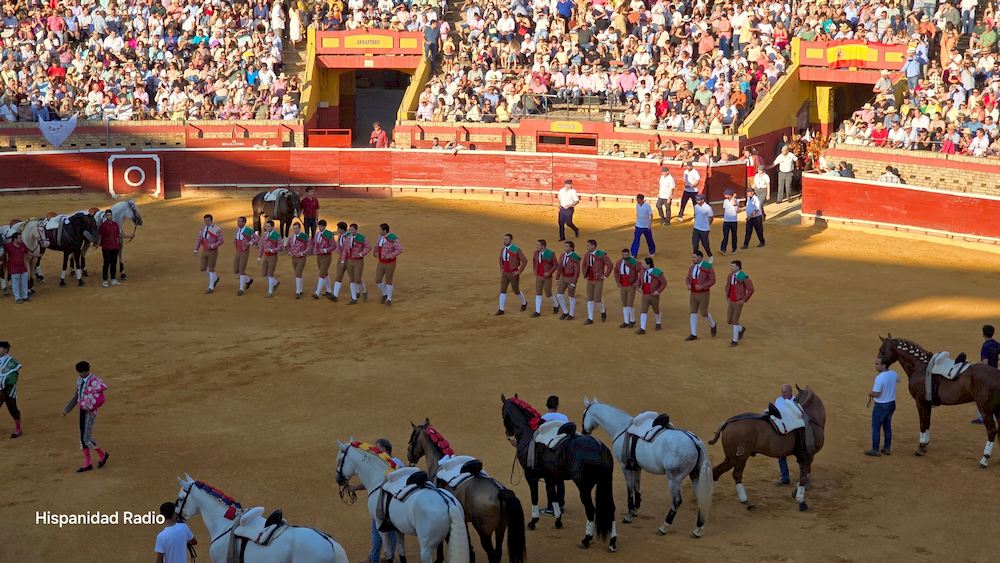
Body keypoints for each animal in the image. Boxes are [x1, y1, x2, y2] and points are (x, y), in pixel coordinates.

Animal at [500, 394, 616, 552]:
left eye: (503, 412)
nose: (509, 434)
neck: (529, 431)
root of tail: (600, 448)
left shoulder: (531, 476)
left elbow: (535, 497)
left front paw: (533, 522)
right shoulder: (550, 476)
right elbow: (554, 496)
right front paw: (558, 521)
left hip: (583, 486)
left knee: (591, 509)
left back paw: (586, 539)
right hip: (606, 483)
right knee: (611, 508)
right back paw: (612, 542)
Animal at [584, 398, 716, 540]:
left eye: (583, 414)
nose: (584, 432)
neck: (621, 426)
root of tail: (694, 441)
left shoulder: (625, 467)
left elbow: (630, 490)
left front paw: (629, 515)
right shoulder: (637, 467)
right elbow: (637, 488)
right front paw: (635, 510)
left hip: (674, 479)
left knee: (676, 501)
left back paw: (664, 527)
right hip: (696, 476)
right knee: (700, 498)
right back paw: (697, 529)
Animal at [880, 334, 1000, 468]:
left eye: (882, 351)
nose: (877, 364)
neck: (920, 367)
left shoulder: (920, 401)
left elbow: (922, 423)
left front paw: (920, 448)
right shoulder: (927, 403)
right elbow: (927, 422)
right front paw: (925, 445)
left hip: (985, 409)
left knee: (992, 431)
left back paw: (984, 460)